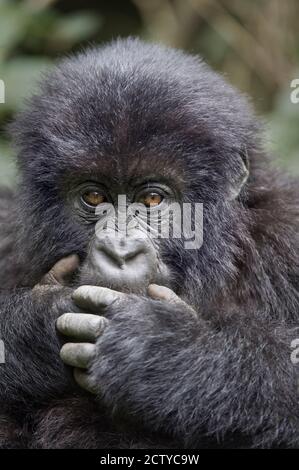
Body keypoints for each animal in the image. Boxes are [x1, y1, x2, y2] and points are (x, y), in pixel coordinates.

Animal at [0, 36, 299, 448]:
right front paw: (35, 327)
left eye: (153, 200)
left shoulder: (288, 237)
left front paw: (163, 352)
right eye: (94, 197)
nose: (119, 251)